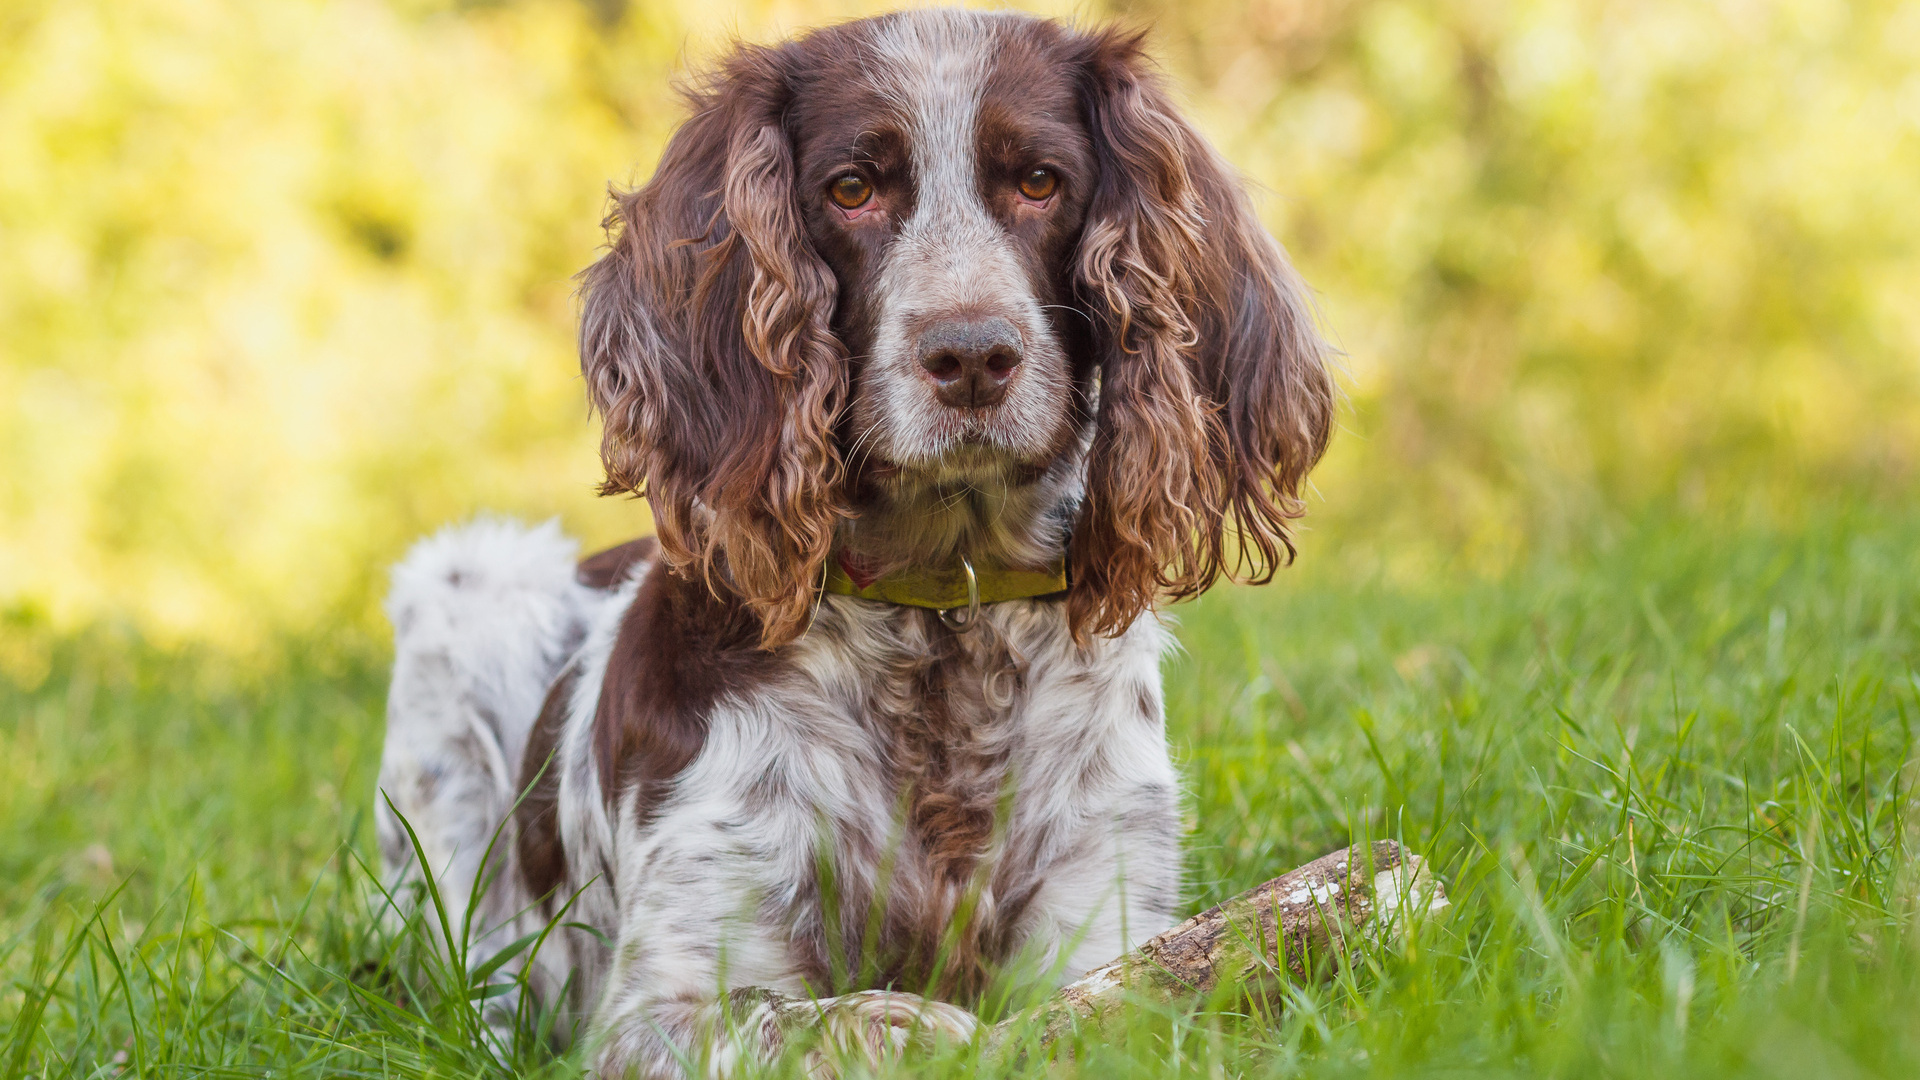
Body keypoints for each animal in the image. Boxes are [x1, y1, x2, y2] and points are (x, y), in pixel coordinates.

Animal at [376, 10, 1336, 1076]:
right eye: (852, 189)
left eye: (1040, 181)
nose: (973, 356)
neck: (941, 619)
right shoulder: (659, 1003)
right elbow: (837, 1019)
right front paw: (929, 1026)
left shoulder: (1109, 917)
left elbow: (1121, 1002)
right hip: (464, 594)